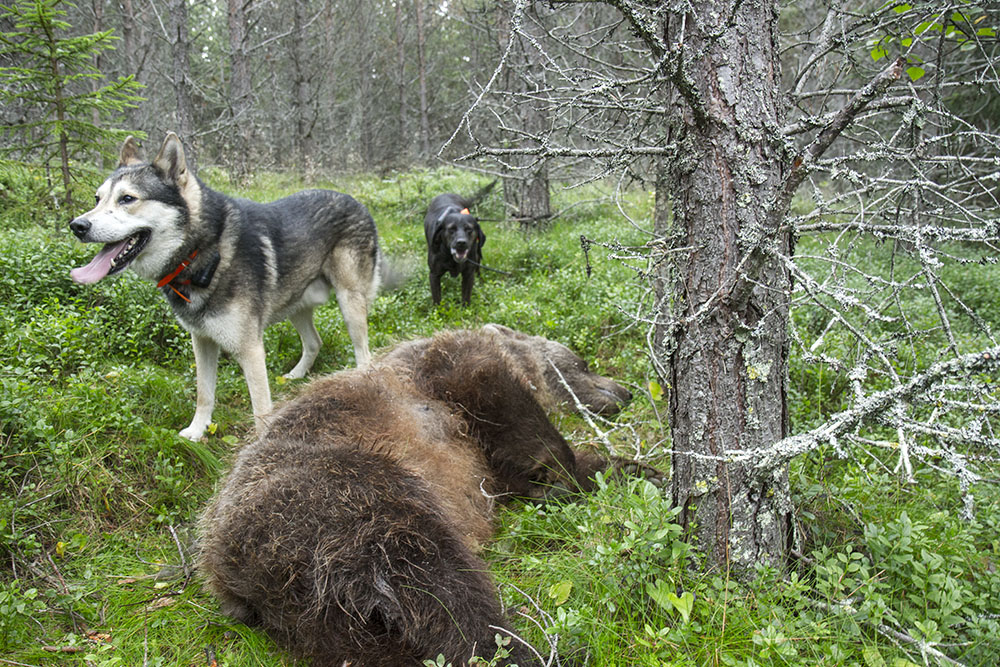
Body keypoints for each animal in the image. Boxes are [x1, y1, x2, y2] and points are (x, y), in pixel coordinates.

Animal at [69, 133, 382, 440]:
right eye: (97, 198)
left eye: (127, 198)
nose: (77, 226)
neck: (203, 253)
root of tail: (358, 202)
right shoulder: (202, 342)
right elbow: (204, 393)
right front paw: (197, 431)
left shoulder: (251, 351)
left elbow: (260, 410)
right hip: (297, 305)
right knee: (314, 342)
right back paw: (296, 375)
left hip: (350, 305)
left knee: (364, 355)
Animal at [198, 322, 636, 664]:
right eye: (581, 362)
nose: (625, 390)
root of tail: (224, 571)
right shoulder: (449, 370)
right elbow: (504, 405)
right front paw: (563, 468)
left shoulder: (482, 458)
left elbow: (516, 470)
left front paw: (625, 469)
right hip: (331, 494)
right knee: (430, 574)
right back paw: (525, 648)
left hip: (318, 619)